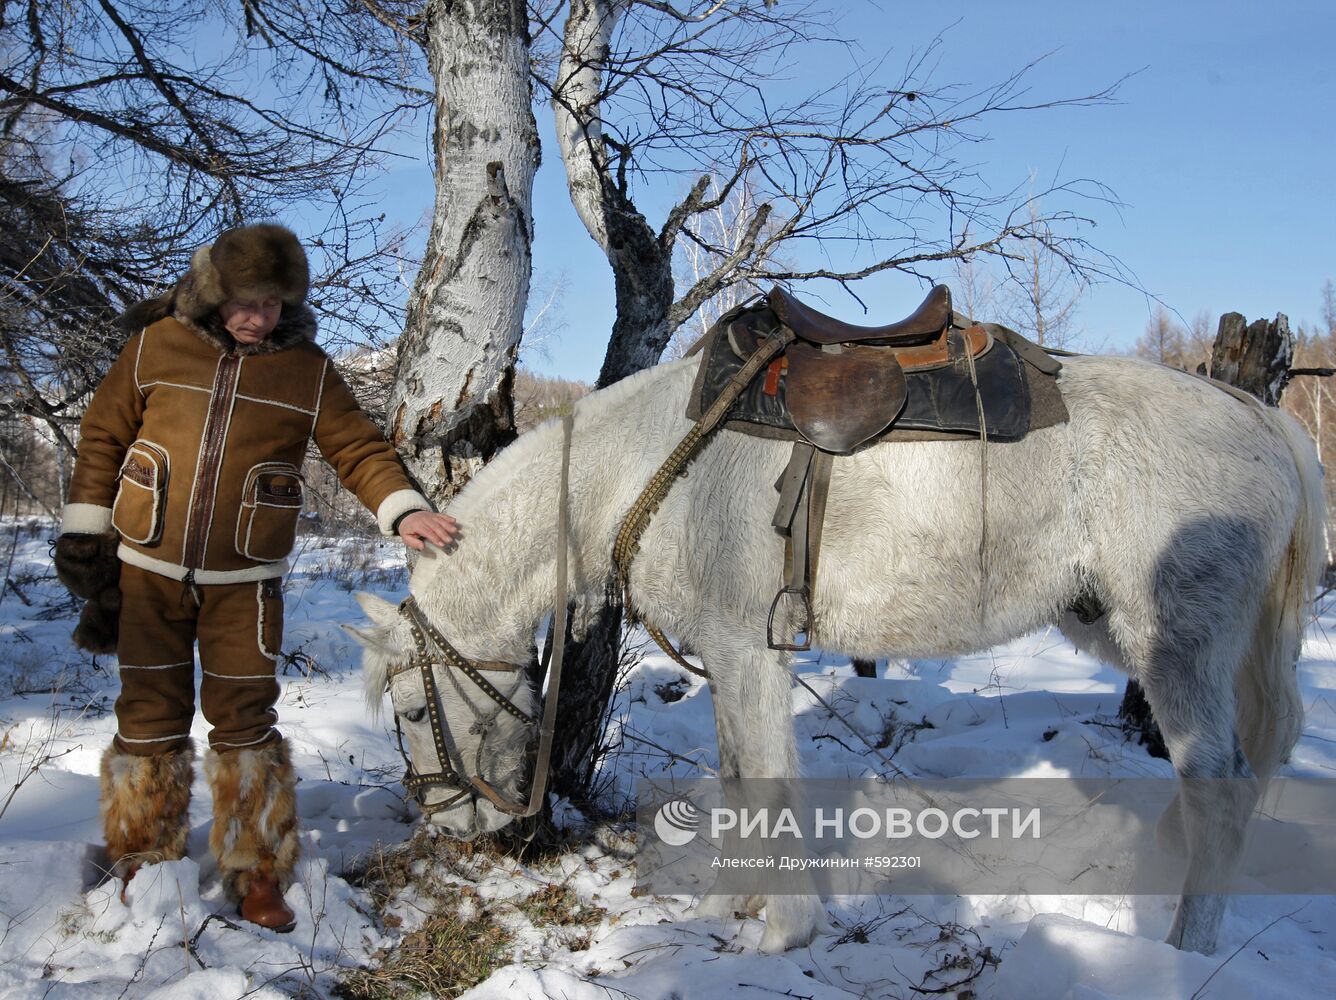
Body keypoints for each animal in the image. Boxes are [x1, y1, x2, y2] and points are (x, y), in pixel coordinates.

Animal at [350, 349, 1319, 950]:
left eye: (411, 706)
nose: (455, 826)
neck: (646, 462)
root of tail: (1263, 421)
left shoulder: (749, 652)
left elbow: (769, 785)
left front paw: (783, 934)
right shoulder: (728, 657)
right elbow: (741, 780)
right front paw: (727, 905)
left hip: (1177, 647)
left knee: (1222, 786)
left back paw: (1186, 953)